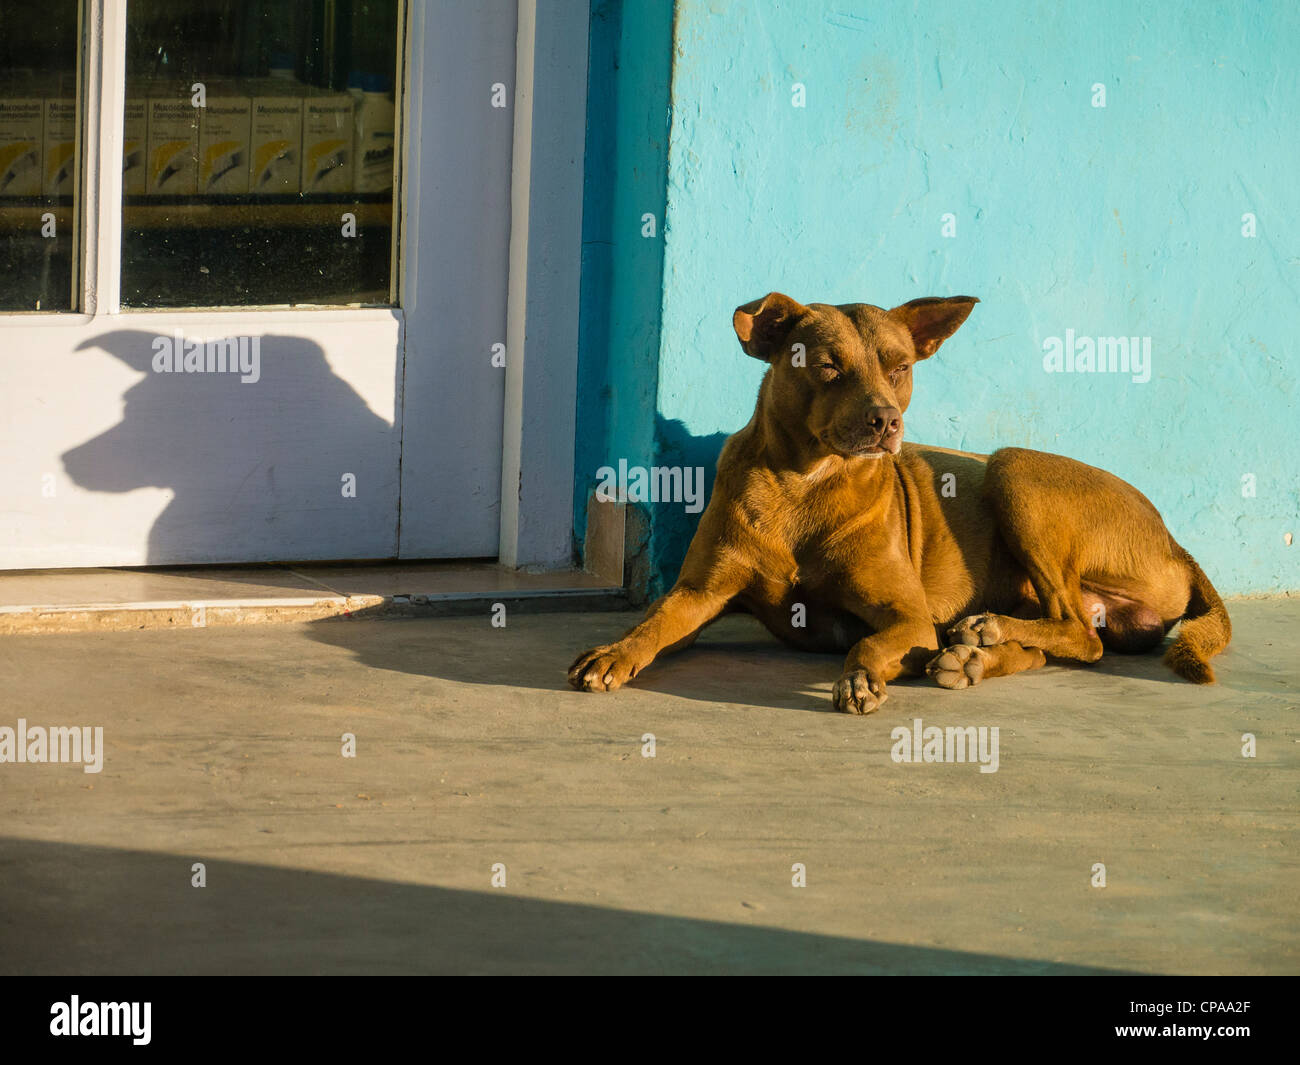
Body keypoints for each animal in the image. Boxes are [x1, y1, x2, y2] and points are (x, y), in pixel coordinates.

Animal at [566, 289, 1227, 717]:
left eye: (901, 366)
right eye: (827, 367)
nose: (886, 420)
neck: (805, 485)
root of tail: (1179, 546)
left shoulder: (908, 617)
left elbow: (869, 641)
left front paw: (860, 677)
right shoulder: (700, 594)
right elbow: (654, 624)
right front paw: (616, 651)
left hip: (1015, 471)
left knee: (1079, 635)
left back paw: (982, 634)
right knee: (1049, 646)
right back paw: (972, 656)